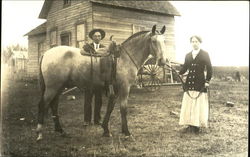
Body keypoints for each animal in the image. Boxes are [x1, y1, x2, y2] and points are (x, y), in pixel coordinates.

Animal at [35, 24, 168, 141]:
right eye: (153, 41)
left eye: (164, 41)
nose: (163, 61)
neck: (124, 58)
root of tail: (46, 53)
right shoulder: (125, 87)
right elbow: (123, 109)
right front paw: (126, 132)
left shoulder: (116, 89)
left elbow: (110, 108)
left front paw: (106, 130)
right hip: (52, 88)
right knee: (43, 105)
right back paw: (40, 133)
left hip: (59, 87)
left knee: (53, 106)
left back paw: (61, 131)